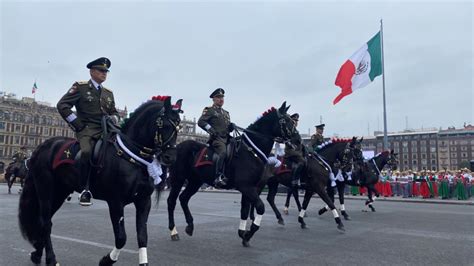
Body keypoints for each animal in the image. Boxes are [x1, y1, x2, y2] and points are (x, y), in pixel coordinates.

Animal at [18, 96, 181, 266]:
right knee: (45, 222)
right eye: (163, 124)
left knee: (44, 220)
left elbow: (142, 237)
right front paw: (106, 260)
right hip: (45, 190)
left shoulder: (143, 201)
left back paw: (37, 253)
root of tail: (42, 147)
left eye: (179, 126)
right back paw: (51, 259)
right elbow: (121, 238)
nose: (170, 157)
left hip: (60, 192)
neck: (131, 157)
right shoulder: (116, 202)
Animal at [166, 102, 292, 247]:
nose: (297, 139)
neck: (251, 151)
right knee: (171, 201)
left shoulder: (249, 187)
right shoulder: (246, 187)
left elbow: (244, 210)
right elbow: (260, 207)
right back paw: (173, 231)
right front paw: (248, 234)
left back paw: (190, 226)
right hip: (178, 179)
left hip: (195, 181)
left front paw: (243, 234)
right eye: (285, 121)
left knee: (183, 198)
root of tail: (179, 145)